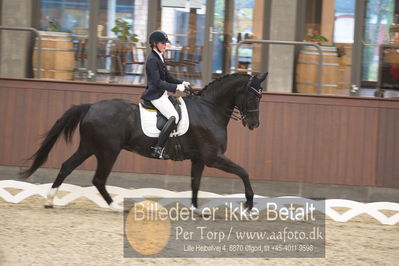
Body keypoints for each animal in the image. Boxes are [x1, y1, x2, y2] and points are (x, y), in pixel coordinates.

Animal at [19, 72, 268, 212]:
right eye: (254, 95)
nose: (254, 124)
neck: (210, 109)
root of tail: (90, 107)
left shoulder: (199, 159)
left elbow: (195, 183)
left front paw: (196, 209)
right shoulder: (213, 157)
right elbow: (243, 171)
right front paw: (249, 203)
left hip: (89, 147)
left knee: (67, 167)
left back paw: (50, 201)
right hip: (108, 151)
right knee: (98, 179)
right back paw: (115, 207)